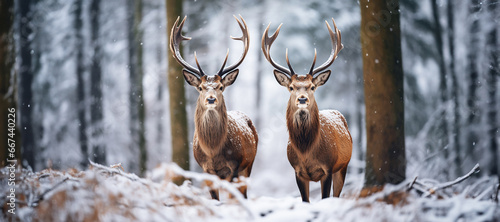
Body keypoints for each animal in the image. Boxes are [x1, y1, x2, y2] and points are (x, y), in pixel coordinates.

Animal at [171, 15, 260, 199]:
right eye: (200, 87)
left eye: (220, 87)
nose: (211, 99)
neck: (213, 152)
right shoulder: (206, 170)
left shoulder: (235, 166)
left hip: (249, 164)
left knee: (244, 192)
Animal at [262, 18, 352, 202]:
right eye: (291, 87)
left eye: (312, 86)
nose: (302, 99)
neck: (306, 152)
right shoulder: (298, 172)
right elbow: (305, 200)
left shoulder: (328, 168)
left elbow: (325, 198)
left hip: (343, 166)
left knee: (337, 195)